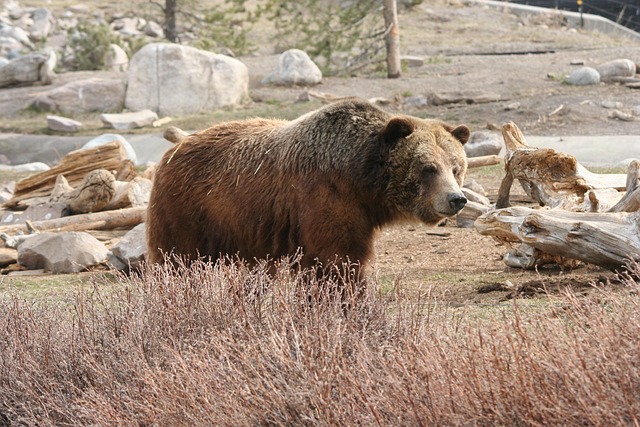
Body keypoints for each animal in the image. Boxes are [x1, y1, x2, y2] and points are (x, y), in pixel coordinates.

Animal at [146, 98, 470, 280]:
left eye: (456, 167)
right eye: (428, 168)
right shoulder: (324, 197)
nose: (456, 199)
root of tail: (173, 149)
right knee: (176, 260)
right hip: (188, 211)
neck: (360, 179)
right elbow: (336, 259)